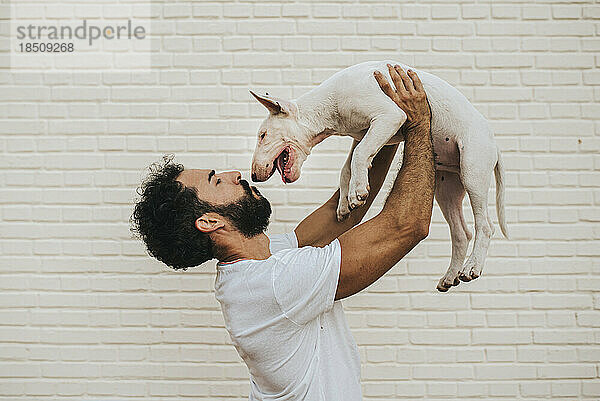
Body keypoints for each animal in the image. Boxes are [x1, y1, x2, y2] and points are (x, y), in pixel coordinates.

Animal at [248, 60, 506, 290]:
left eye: (262, 135)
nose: (253, 176)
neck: (329, 109)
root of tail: (494, 142)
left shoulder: (390, 117)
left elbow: (359, 155)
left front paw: (357, 193)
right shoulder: (364, 133)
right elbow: (348, 166)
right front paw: (344, 204)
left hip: (472, 169)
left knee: (485, 225)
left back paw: (472, 267)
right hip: (446, 187)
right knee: (462, 232)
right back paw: (451, 275)